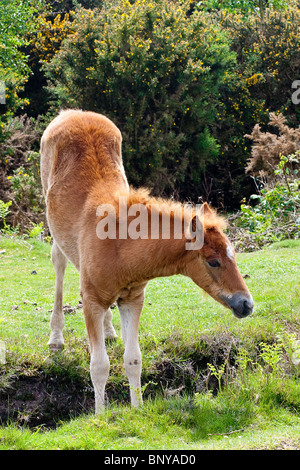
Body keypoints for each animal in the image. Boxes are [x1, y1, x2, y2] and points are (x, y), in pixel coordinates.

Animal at [41, 110, 253, 412]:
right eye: (213, 262)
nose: (247, 304)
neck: (119, 245)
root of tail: (72, 112)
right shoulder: (91, 302)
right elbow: (99, 365)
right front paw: (100, 415)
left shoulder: (132, 299)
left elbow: (133, 360)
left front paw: (137, 410)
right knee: (59, 260)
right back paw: (56, 339)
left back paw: (109, 330)